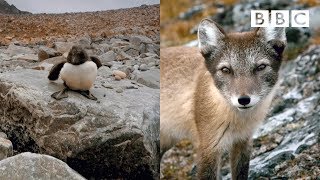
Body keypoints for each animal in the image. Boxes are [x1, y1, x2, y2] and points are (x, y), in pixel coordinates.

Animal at [161, 19, 286, 179]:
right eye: (226, 70)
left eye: (261, 67)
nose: (243, 100)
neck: (237, 121)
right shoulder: (208, 148)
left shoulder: (243, 141)